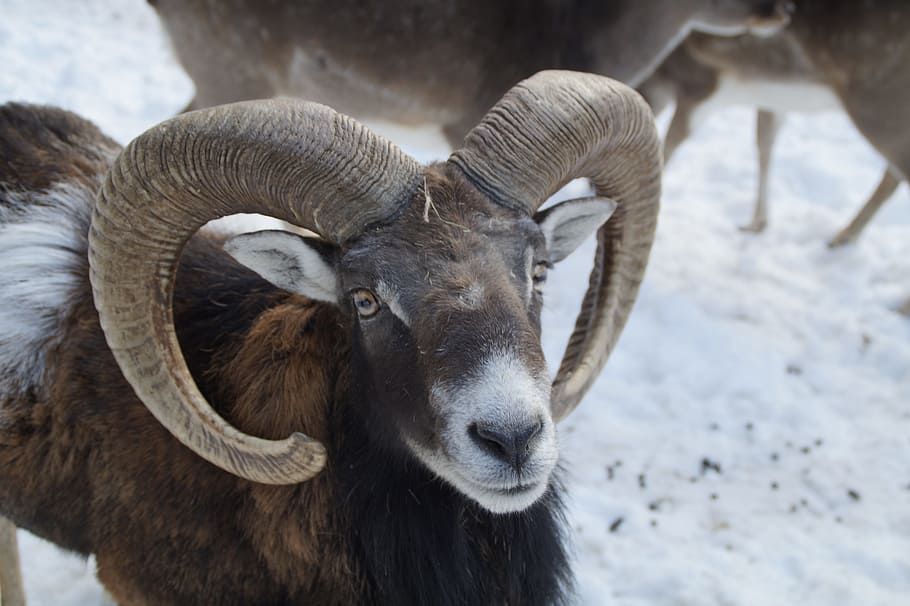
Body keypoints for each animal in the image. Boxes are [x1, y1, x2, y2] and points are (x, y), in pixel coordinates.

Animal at [638, 0, 909, 251]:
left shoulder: (702, 85)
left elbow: (667, 146)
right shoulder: (769, 100)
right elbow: (764, 143)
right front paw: (758, 222)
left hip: (877, 99)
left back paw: (844, 236)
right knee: (893, 174)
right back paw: (845, 235)